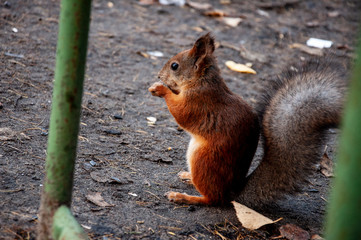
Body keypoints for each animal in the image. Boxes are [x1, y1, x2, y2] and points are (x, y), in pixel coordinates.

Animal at [148, 33, 348, 206]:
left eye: (175, 66)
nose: (158, 75)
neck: (202, 81)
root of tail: (232, 193)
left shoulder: (198, 102)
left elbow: (181, 113)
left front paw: (160, 88)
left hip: (204, 161)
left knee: (212, 199)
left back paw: (184, 197)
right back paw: (187, 176)